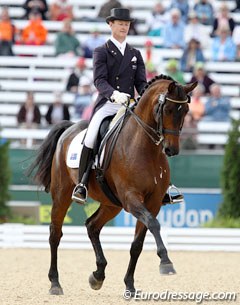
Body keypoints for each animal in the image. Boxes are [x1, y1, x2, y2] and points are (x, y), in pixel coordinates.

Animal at [28, 75, 197, 296]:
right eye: (167, 109)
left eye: (185, 110)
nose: (171, 149)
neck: (146, 148)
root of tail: (70, 128)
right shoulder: (131, 198)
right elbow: (153, 224)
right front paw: (166, 263)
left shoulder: (152, 203)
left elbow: (137, 244)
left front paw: (130, 285)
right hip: (62, 194)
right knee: (55, 234)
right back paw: (55, 283)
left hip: (111, 204)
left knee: (92, 225)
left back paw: (98, 275)